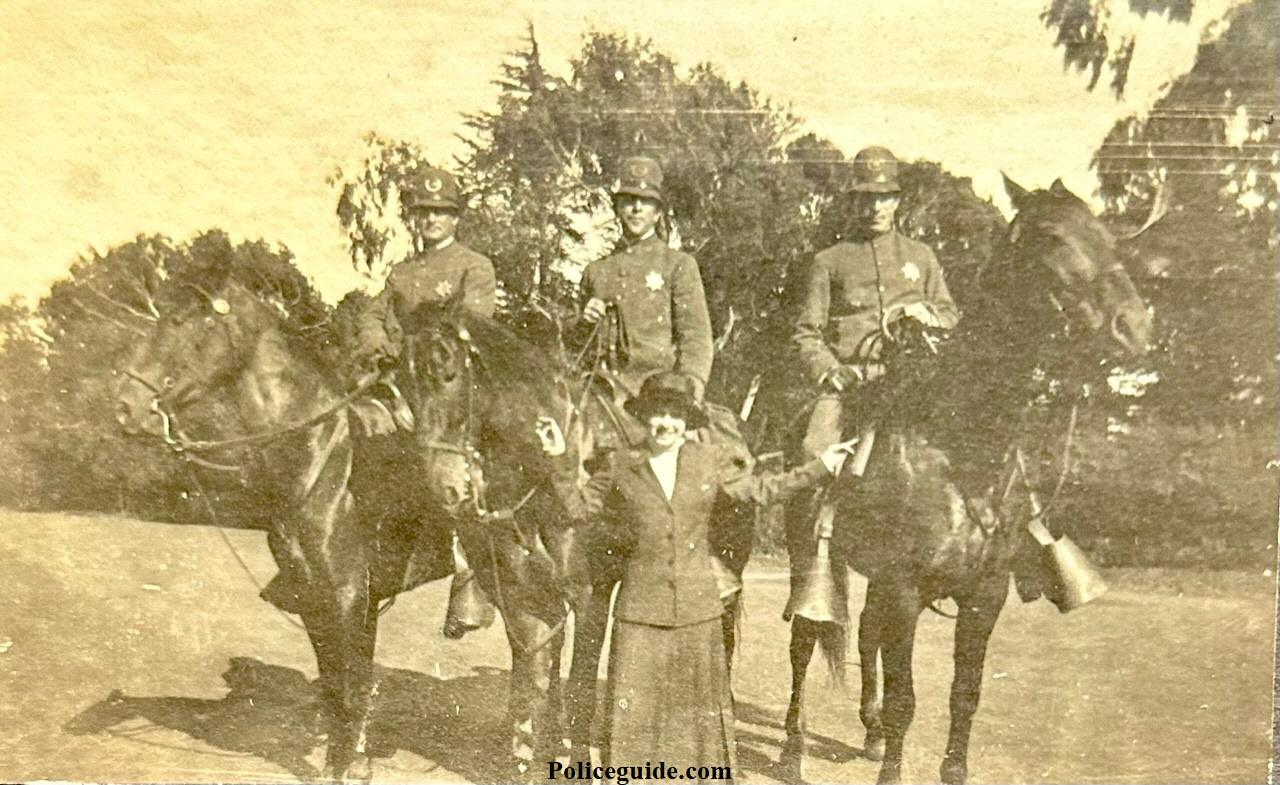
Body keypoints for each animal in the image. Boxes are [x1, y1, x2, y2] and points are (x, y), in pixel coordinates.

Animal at [111, 256, 576, 778]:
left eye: (178, 322)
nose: (124, 404)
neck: (320, 456)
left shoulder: (349, 593)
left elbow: (352, 684)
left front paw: (351, 763)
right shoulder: (315, 595)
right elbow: (336, 683)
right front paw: (344, 759)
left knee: (542, 646)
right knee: (543, 644)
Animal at [778, 174, 1162, 778]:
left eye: (1105, 236)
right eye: (1052, 237)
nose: (1135, 327)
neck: (962, 445)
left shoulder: (984, 596)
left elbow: (966, 693)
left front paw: (949, 768)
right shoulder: (905, 588)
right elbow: (907, 698)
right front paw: (892, 770)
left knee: (864, 633)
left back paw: (870, 731)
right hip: (808, 554)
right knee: (805, 640)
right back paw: (793, 750)